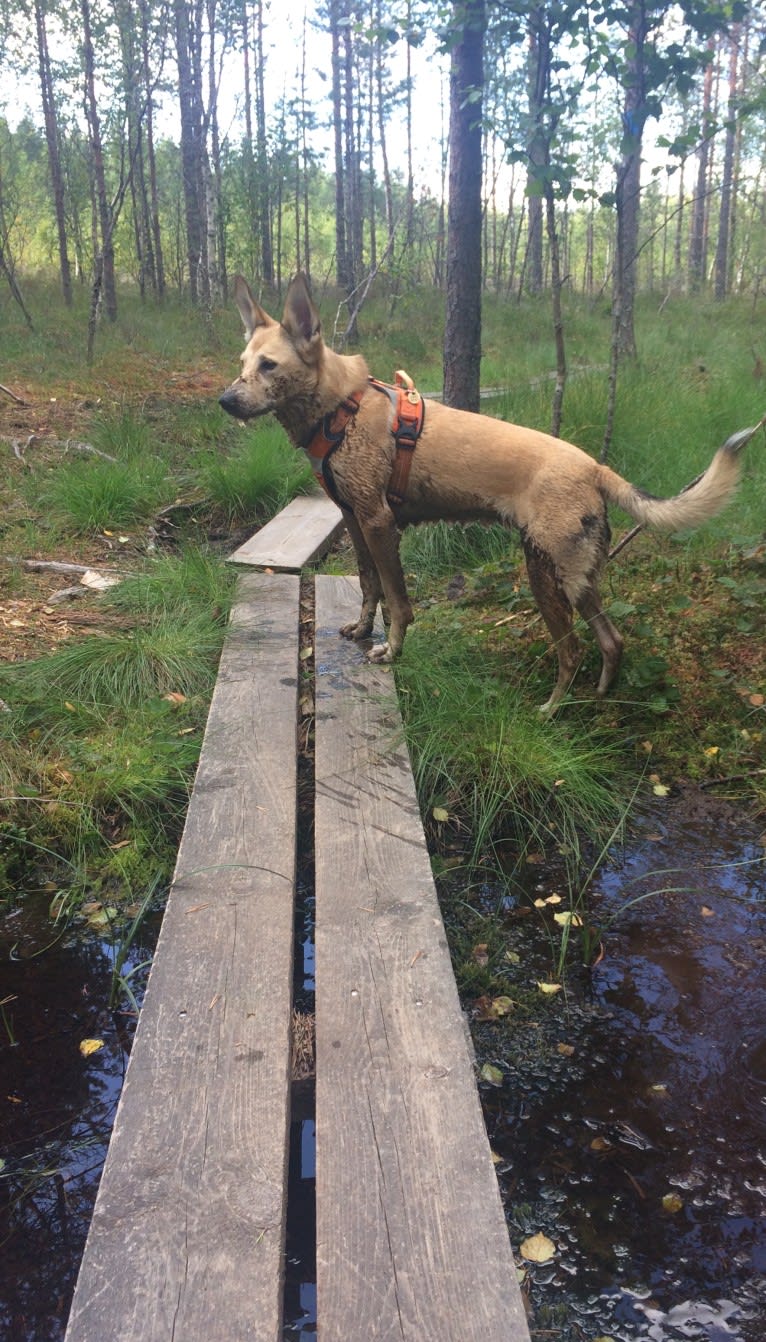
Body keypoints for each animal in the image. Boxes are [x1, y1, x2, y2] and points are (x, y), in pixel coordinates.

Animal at [218, 272, 751, 713]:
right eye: (242, 363)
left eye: (269, 365)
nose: (225, 400)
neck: (340, 409)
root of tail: (595, 467)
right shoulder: (354, 520)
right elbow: (370, 588)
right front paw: (362, 630)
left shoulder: (380, 525)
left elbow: (398, 601)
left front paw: (392, 649)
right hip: (578, 581)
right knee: (611, 641)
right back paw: (599, 698)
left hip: (547, 575)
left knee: (573, 650)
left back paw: (551, 711)